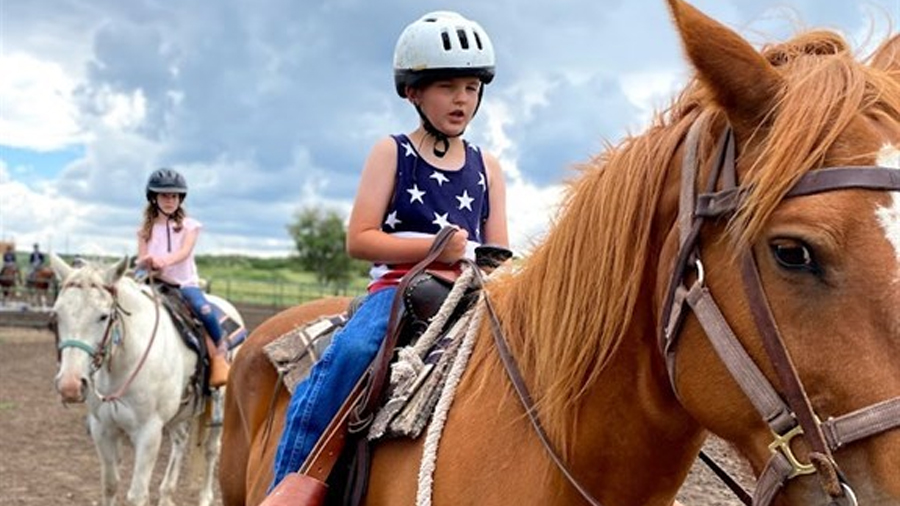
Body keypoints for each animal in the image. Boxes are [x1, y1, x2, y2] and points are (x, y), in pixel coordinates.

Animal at [51, 255, 243, 506]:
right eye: (57, 314)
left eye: (103, 316)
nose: (70, 386)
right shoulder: (102, 429)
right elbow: (110, 486)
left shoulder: (149, 432)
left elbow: (137, 495)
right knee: (180, 441)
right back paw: (166, 494)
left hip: (220, 412)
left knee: (212, 451)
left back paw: (204, 498)